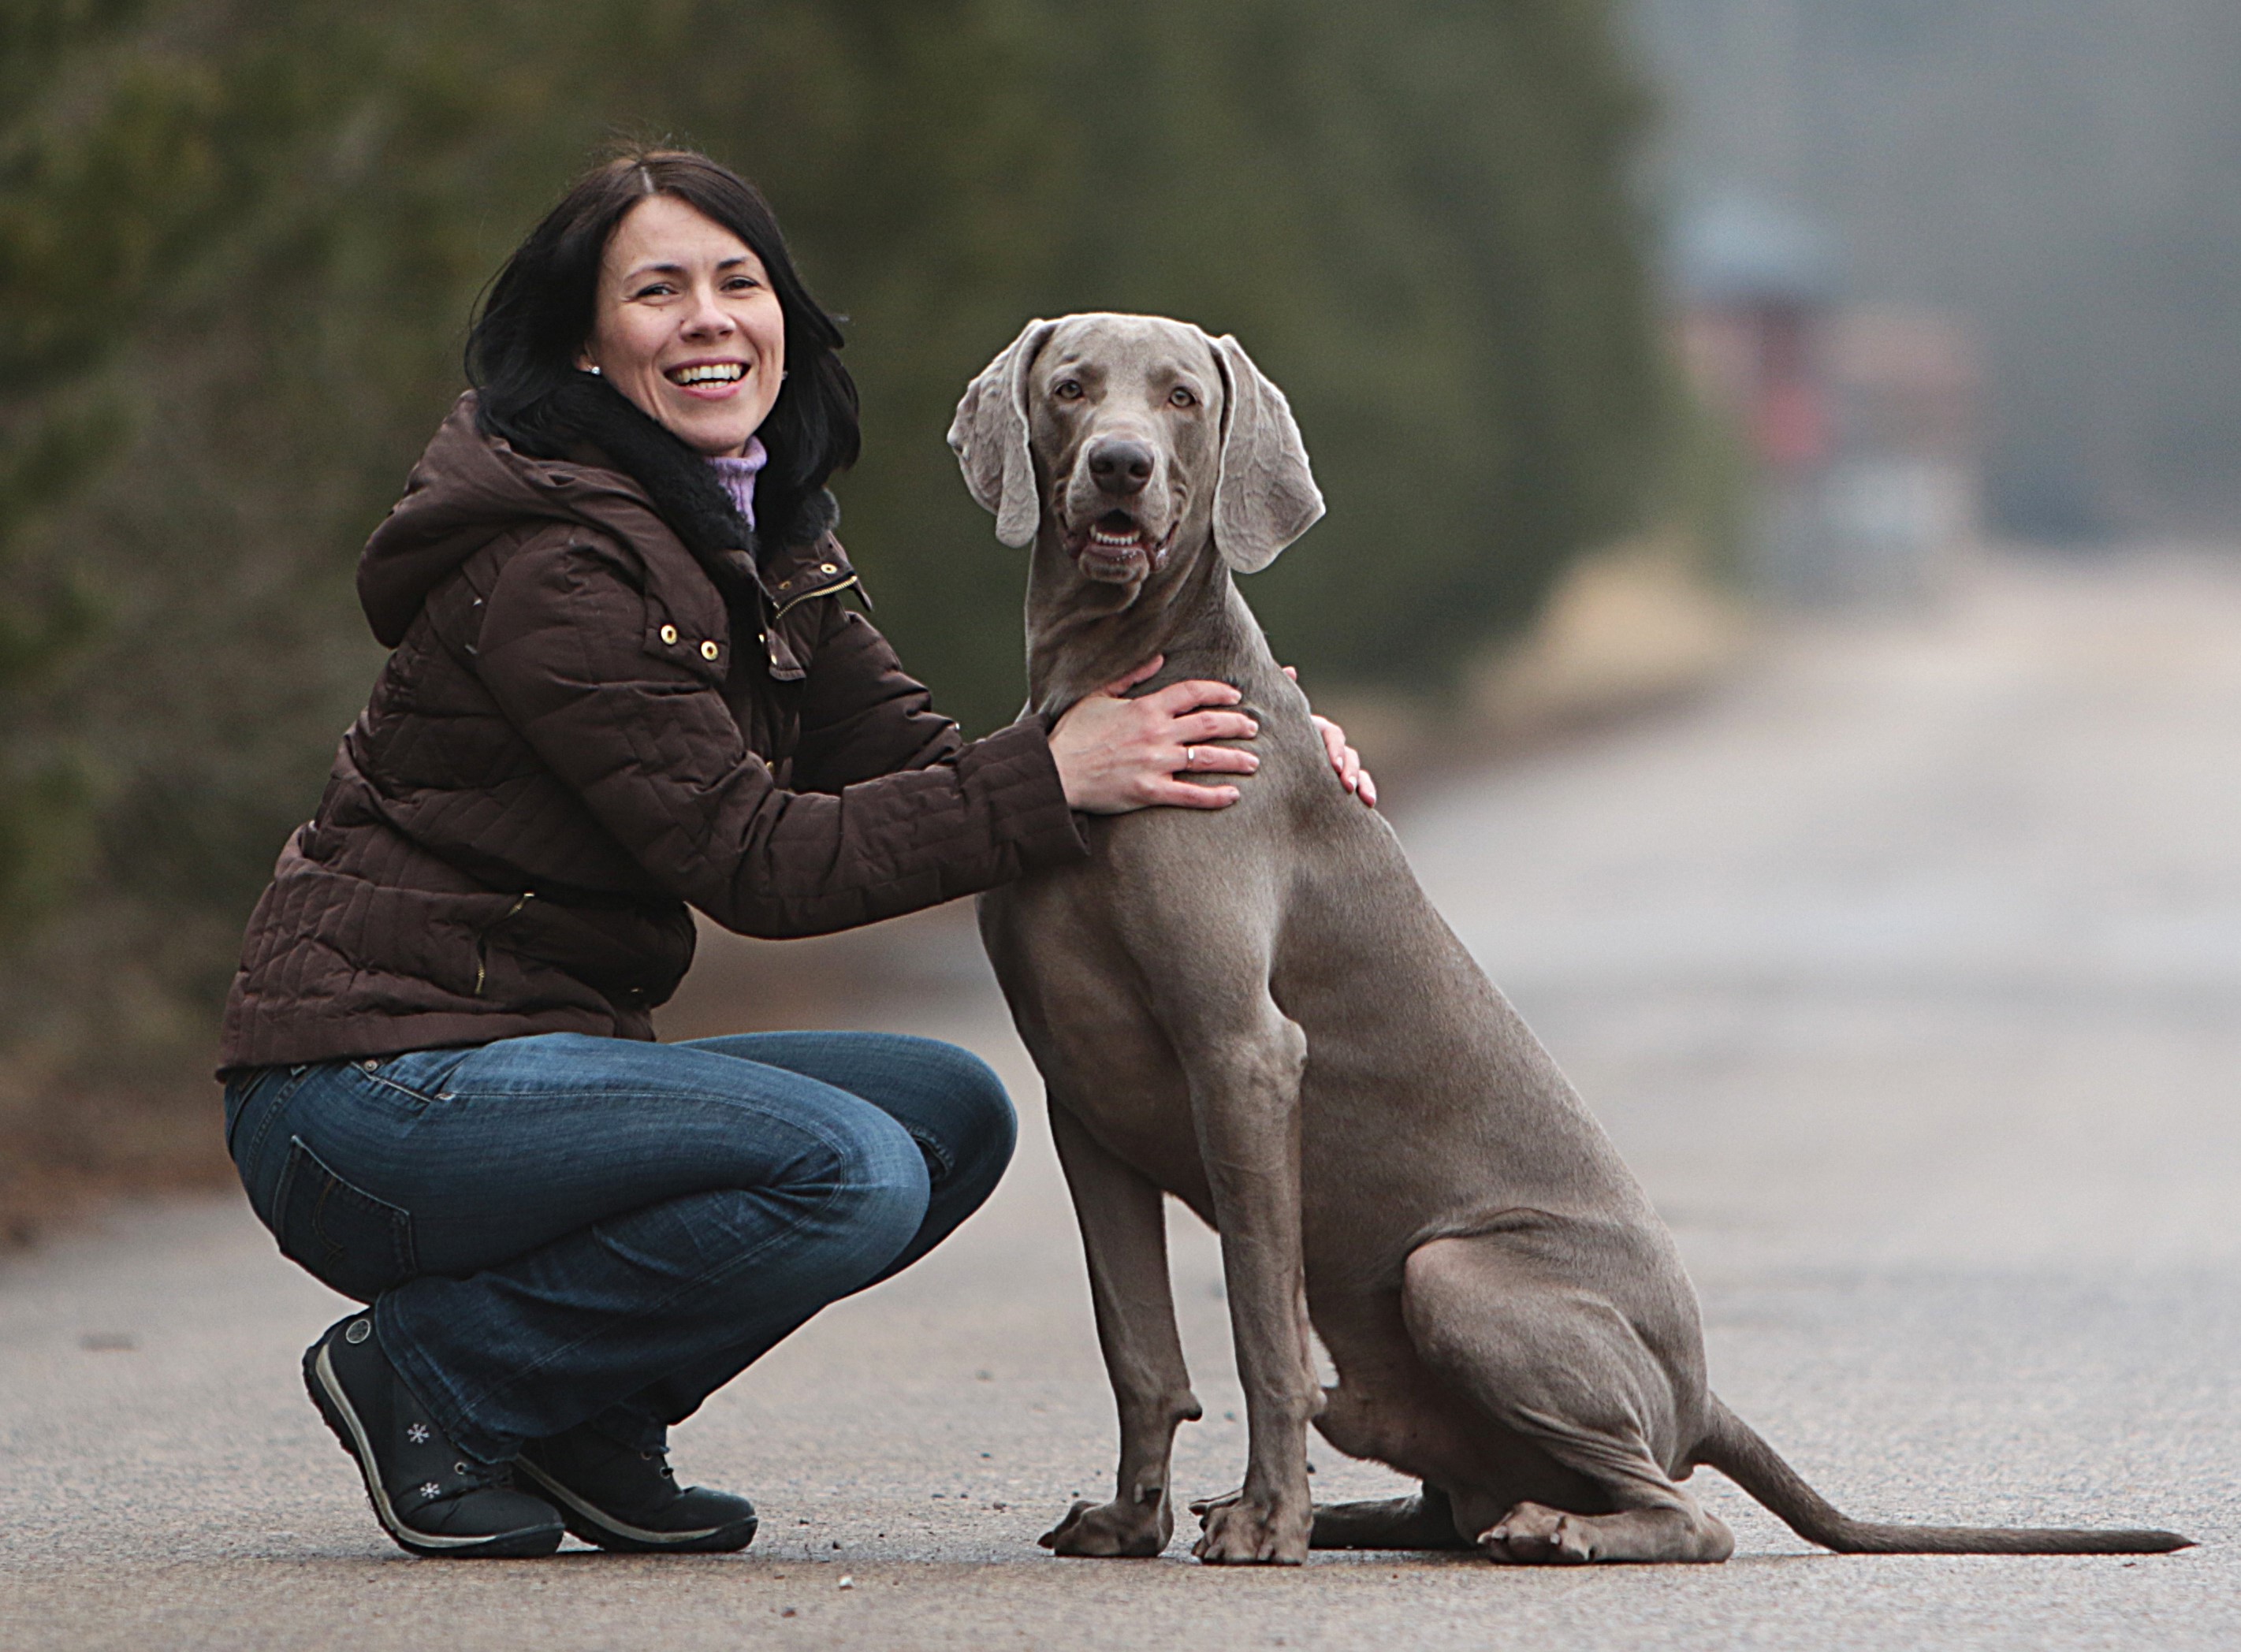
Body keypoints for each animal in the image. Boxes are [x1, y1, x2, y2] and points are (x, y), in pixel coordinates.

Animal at [945, 309, 2187, 1560]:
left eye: (1183, 399)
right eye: (1069, 387)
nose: (1120, 465)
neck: (1113, 675)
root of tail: (1701, 1394)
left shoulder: (1242, 1053)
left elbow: (1258, 1323)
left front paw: (1267, 1521)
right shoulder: (1082, 1092)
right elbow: (1135, 1342)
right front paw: (1129, 1517)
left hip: (1455, 1274)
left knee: (1685, 1514)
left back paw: (1548, 1529)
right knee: (1450, 1498)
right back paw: (1374, 1512)